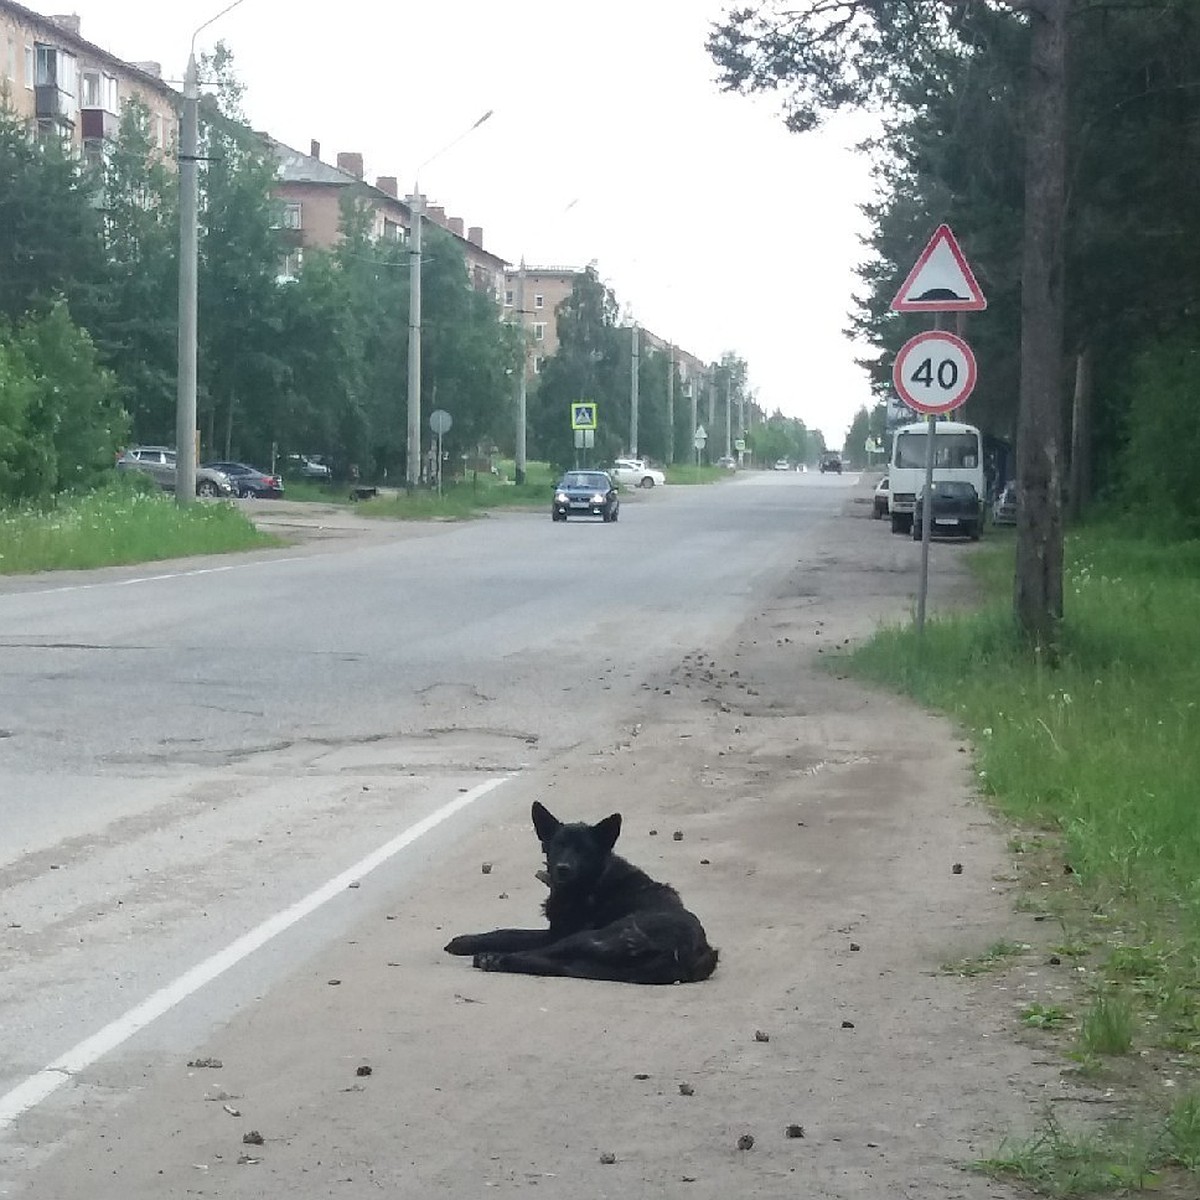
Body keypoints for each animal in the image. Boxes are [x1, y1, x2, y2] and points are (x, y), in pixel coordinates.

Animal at [446, 796, 715, 984]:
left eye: (583, 850)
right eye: (559, 845)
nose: (563, 869)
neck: (593, 880)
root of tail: (684, 951)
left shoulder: (556, 934)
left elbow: (511, 933)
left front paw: (466, 942)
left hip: (589, 938)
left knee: (537, 954)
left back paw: (493, 958)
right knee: (549, 962)